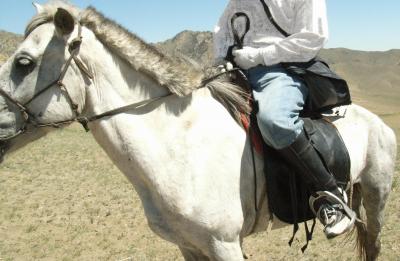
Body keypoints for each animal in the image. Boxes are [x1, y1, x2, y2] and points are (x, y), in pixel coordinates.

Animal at [0, 2, 396, 260]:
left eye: (24, 62)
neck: (177, 145)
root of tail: (377, 122)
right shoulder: (189, 245)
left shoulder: (224, 244)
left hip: (376, 196)